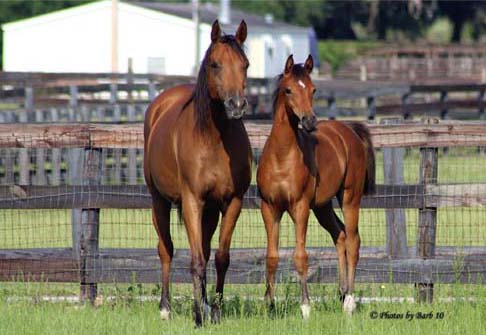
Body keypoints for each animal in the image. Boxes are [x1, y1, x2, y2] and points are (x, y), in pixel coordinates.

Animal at [143, 19, 251, 326]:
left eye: (245, 65)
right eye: (215, 64)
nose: (236, 105)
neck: (214, 138)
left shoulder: (232, 202)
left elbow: (221, 257)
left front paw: (214, 311)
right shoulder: (192, 200)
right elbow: (196, 260)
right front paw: (198, 317)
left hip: (210, 210)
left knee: (203, 244)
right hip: (159, 200)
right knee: (166, 249)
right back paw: (165, 308)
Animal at [258, 53, 376, 318]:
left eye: (313, 89)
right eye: (289, 90)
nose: (310, 121)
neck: (282, 157)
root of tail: (349, 129)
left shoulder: (300, 208)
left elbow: (300, 256)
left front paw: (305, 307)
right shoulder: (269, 208)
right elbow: (271, 256)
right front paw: (269, 305)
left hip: (349, 197)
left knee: (353, 240)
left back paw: (350, 301)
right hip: (322, 206)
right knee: (340, 235)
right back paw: (342, 293)